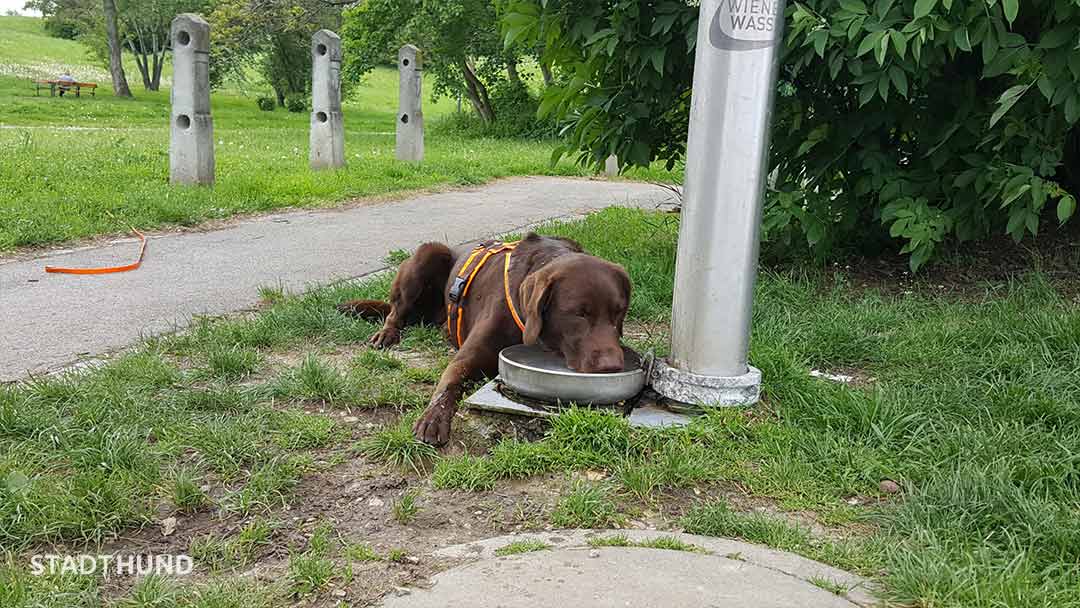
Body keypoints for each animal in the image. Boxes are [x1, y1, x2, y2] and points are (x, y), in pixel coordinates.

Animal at [336, 231, 630, 444]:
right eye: (579, 314)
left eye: (618, 312)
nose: (613, 366)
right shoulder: (468, 356)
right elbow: (449, 382)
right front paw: (433, 418)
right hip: (425, 255)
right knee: (395, 312)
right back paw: (387, 334)